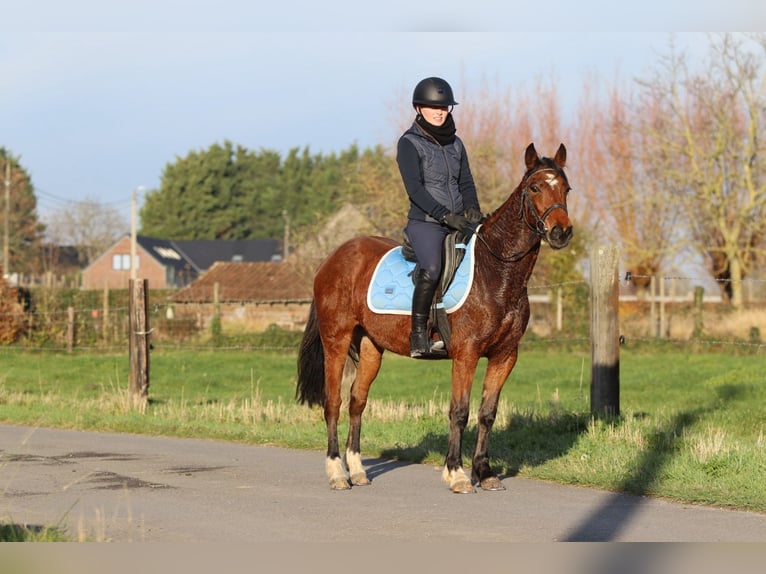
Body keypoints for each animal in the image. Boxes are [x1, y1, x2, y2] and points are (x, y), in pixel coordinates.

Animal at [296, 143, 573, 493]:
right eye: (535, 187)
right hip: (336, 341)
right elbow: (460, 412)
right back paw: (337, 473)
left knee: (357, 401)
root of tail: (331, 259)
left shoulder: (505, 356)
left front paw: (484, 472)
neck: (496, 272)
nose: (562, 232)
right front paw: (457, 474)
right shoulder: (466, 355)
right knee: (332, 402)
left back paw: (357, 470)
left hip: (371, 347)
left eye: (566, 188)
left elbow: (487, 413)